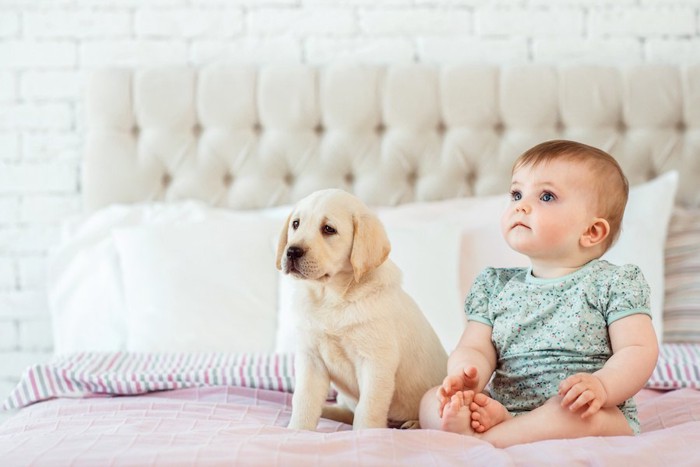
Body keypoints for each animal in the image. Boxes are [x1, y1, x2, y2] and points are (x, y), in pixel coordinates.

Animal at [274, 188, 446, 430]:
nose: (292, 251)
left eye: (328, 229)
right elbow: (304, 399)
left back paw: (414, 424)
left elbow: (369, 408)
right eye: (296, 224)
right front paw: (297, 429)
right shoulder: (311, 359)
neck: (332, 297)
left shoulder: (376, 362)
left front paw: (365, 434)